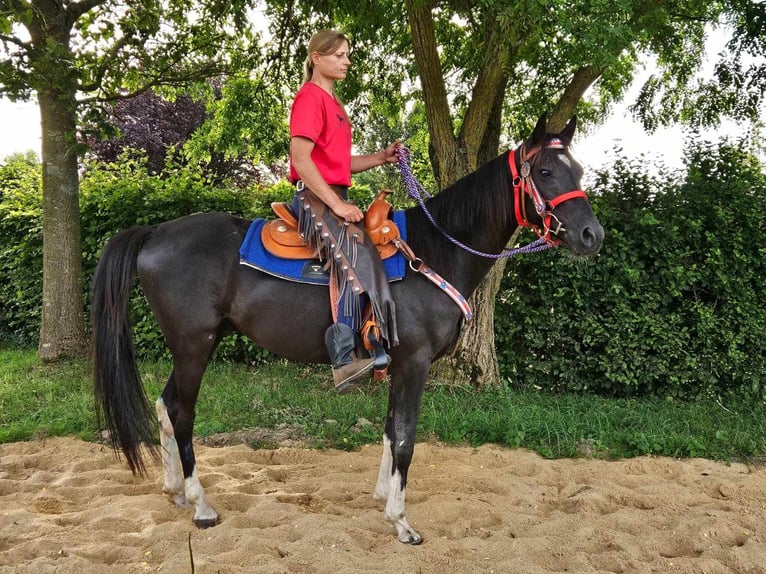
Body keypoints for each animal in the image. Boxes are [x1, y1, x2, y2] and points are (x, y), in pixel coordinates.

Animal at [91, 115, 608, 548]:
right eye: (545, 172)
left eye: (580, 170)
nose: (592, 236)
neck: (435, 251)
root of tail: (155, 232)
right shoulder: (415, 361)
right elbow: (406, 437)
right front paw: (402, 523)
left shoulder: (398, 362)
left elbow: (390, 430)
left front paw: (382, 499)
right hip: (194, 346)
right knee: (182, 414)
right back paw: (201, 506)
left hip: (193, 345)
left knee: (164, 404)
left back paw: (176, 492)